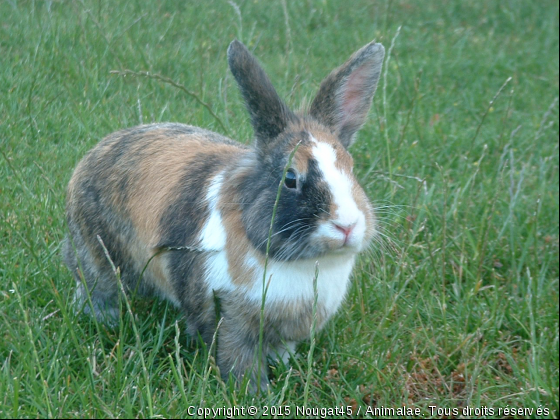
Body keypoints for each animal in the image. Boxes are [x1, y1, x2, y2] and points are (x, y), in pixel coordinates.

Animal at [62, 39, 384, 390]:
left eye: (350, 168)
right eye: (290, 178)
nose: (347, 226)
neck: (302, 263)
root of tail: (92, 155)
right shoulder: (230, 321)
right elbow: (237, 359)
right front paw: (253, 393)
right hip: (99, 262)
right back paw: (103, 320)